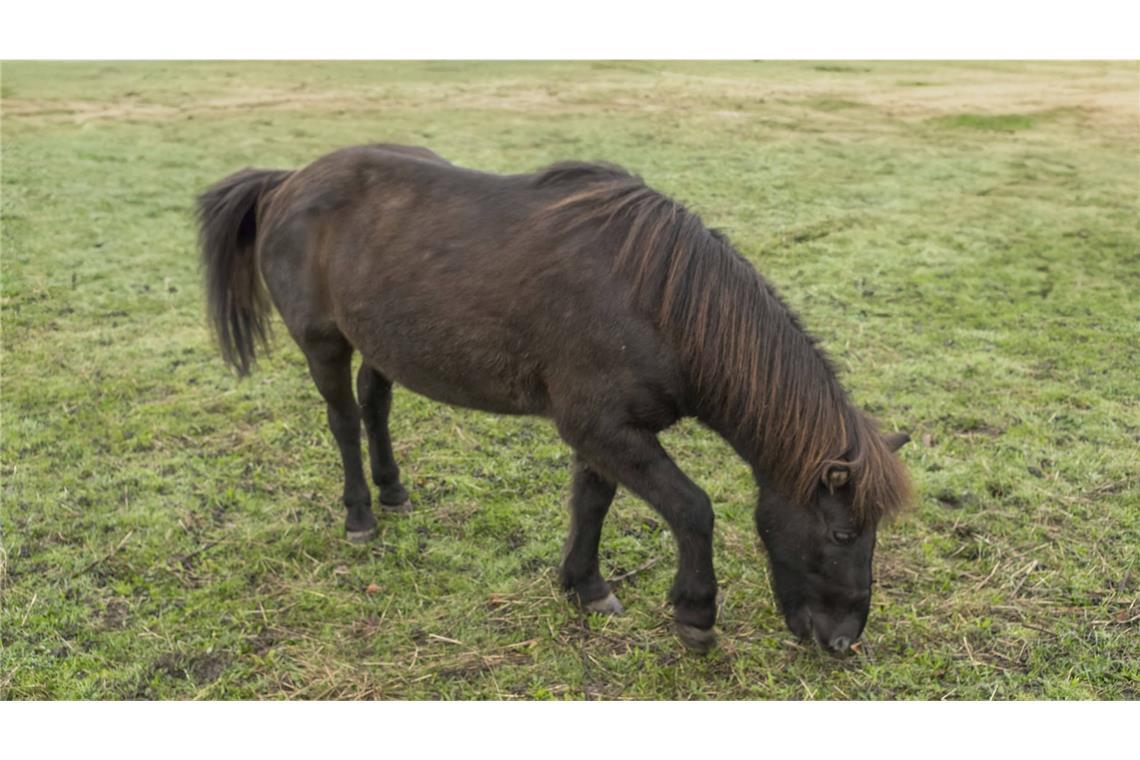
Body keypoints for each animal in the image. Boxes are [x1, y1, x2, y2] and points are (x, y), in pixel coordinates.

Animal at [193, 144, 907, 656]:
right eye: (843, 532)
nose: (843, 642)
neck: (657, 303)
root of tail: (290, 180)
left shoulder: (607, 433)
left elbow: (592, 502)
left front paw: (584, 586)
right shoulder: (605, 429)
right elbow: (693, 509)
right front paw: (695, 614)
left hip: (383, 342)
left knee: (375, 404)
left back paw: (393, 490)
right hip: (324, 343)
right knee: (344, 420)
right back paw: (362, 515)